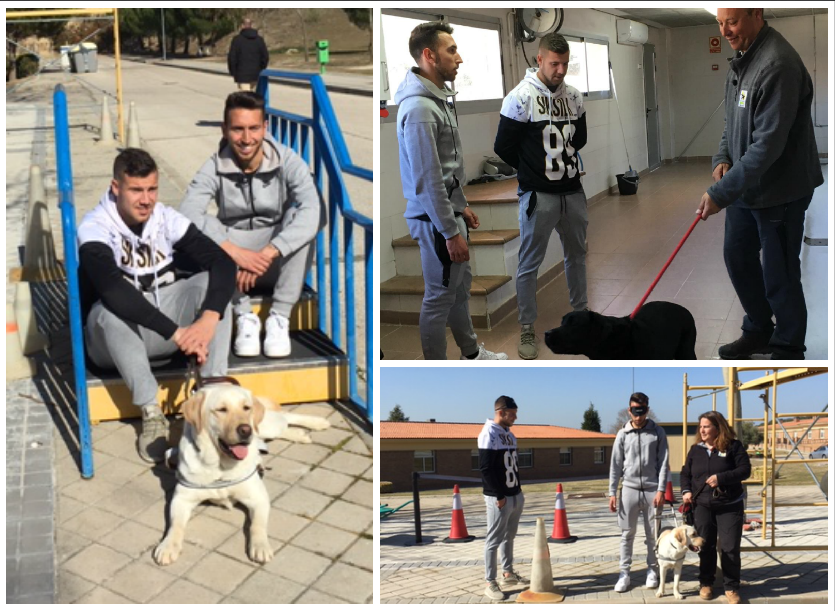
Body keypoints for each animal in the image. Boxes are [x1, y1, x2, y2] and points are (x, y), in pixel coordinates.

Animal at [153, 384, 330, 568]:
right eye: (221, 409)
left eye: (246, 407)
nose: (246, 430)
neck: (221, 466)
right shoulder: (181, 499)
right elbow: (175, 525)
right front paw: (167, 546)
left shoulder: (258, 497)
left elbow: (257, 525)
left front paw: (260, 546)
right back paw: (301, 434)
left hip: (265, 426)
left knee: (284, 417)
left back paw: (318, 423)